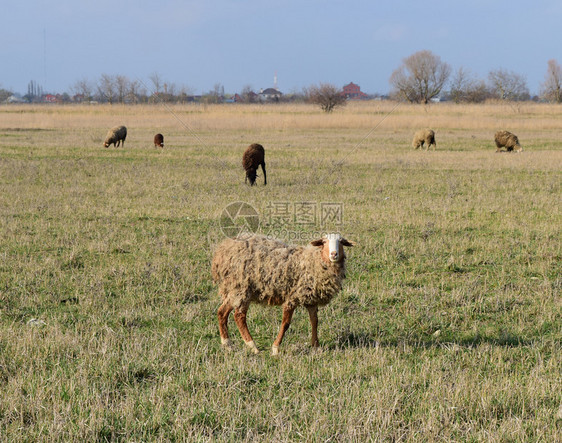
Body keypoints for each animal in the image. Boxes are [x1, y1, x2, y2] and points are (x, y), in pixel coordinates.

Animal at [212, 234, 352, 356]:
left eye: (341, 242)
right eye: (324, 242)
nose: (334, 254)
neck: (312, 262)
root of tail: (222, 251)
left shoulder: (310, 299)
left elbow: (314, 321)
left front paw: (316, 346)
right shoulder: (292, 298)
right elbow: (286, 324)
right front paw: (275, 348)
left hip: (234, 290)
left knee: (222, 312)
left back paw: (227, 345)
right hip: (242, 289)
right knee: (239, 316)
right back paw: (253, 346)